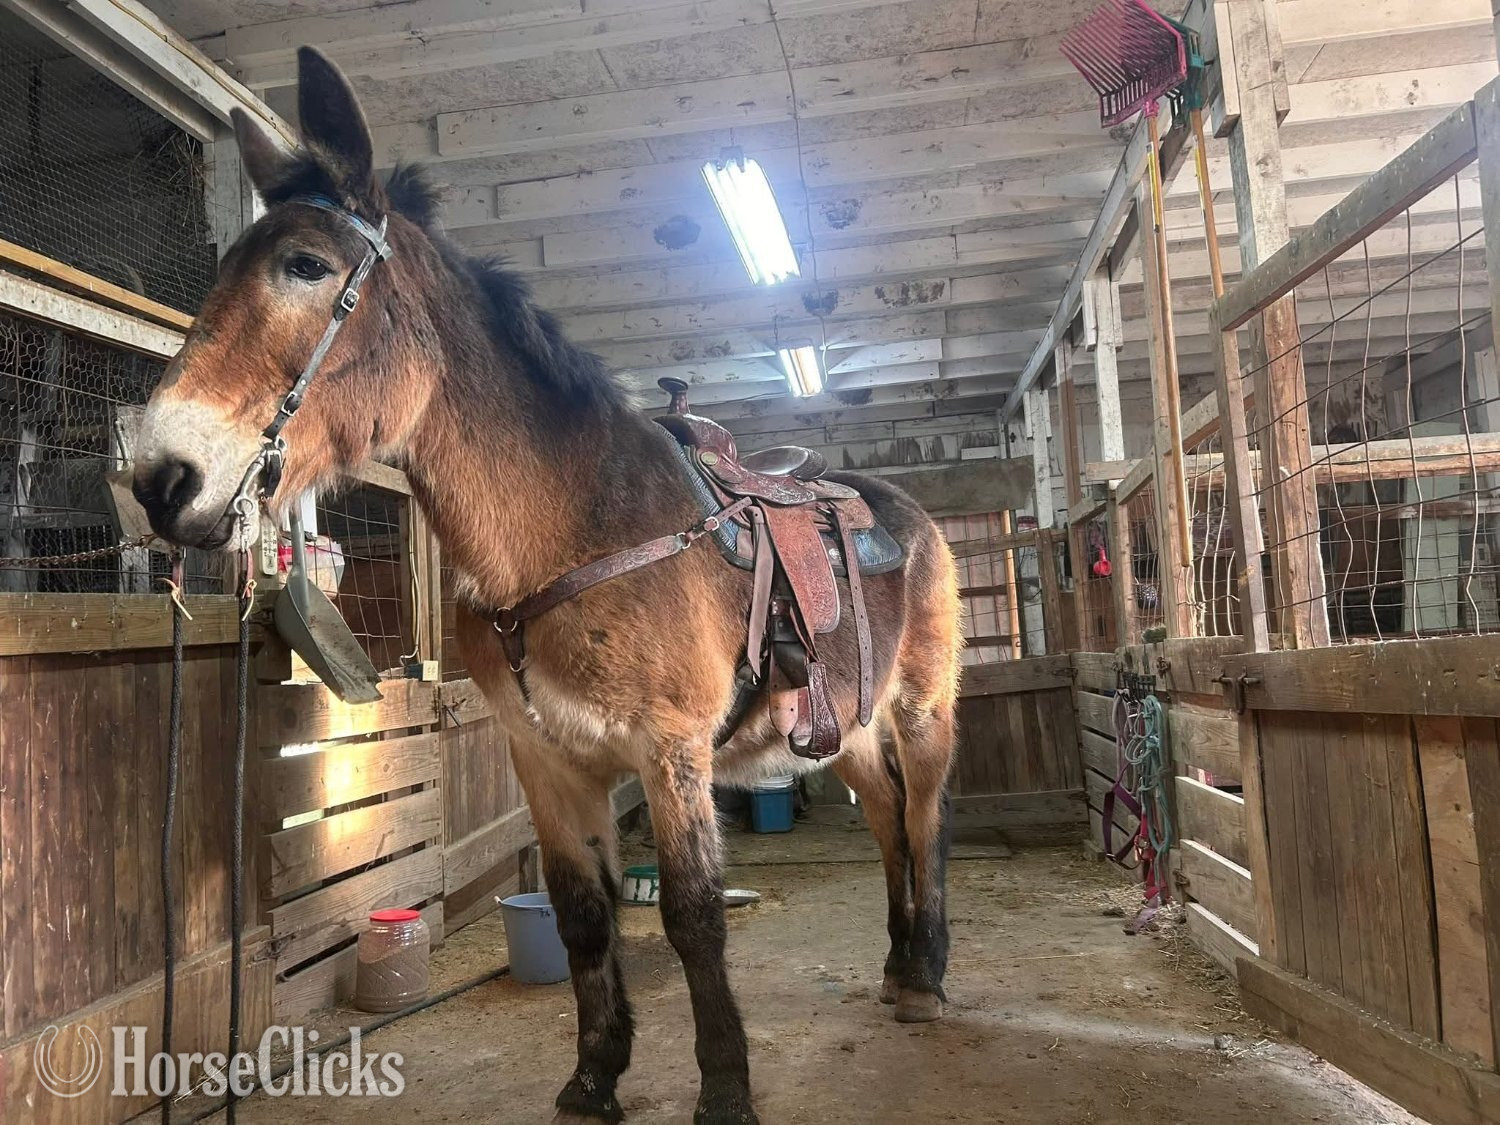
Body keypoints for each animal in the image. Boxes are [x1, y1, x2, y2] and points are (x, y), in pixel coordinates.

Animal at [132, 48, 962, 1125]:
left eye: (306, 265)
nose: (158, 476)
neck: (574, 532)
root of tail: (906, 511)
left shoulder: (672, 752)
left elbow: (694, 919)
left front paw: (725, 1088)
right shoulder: (548, 761)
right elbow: (581, 918)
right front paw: (595, 1076)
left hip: (921, 710)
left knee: (926, 819)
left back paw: (929, 974)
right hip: (847, 726)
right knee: (887, 819)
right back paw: (900, 966)